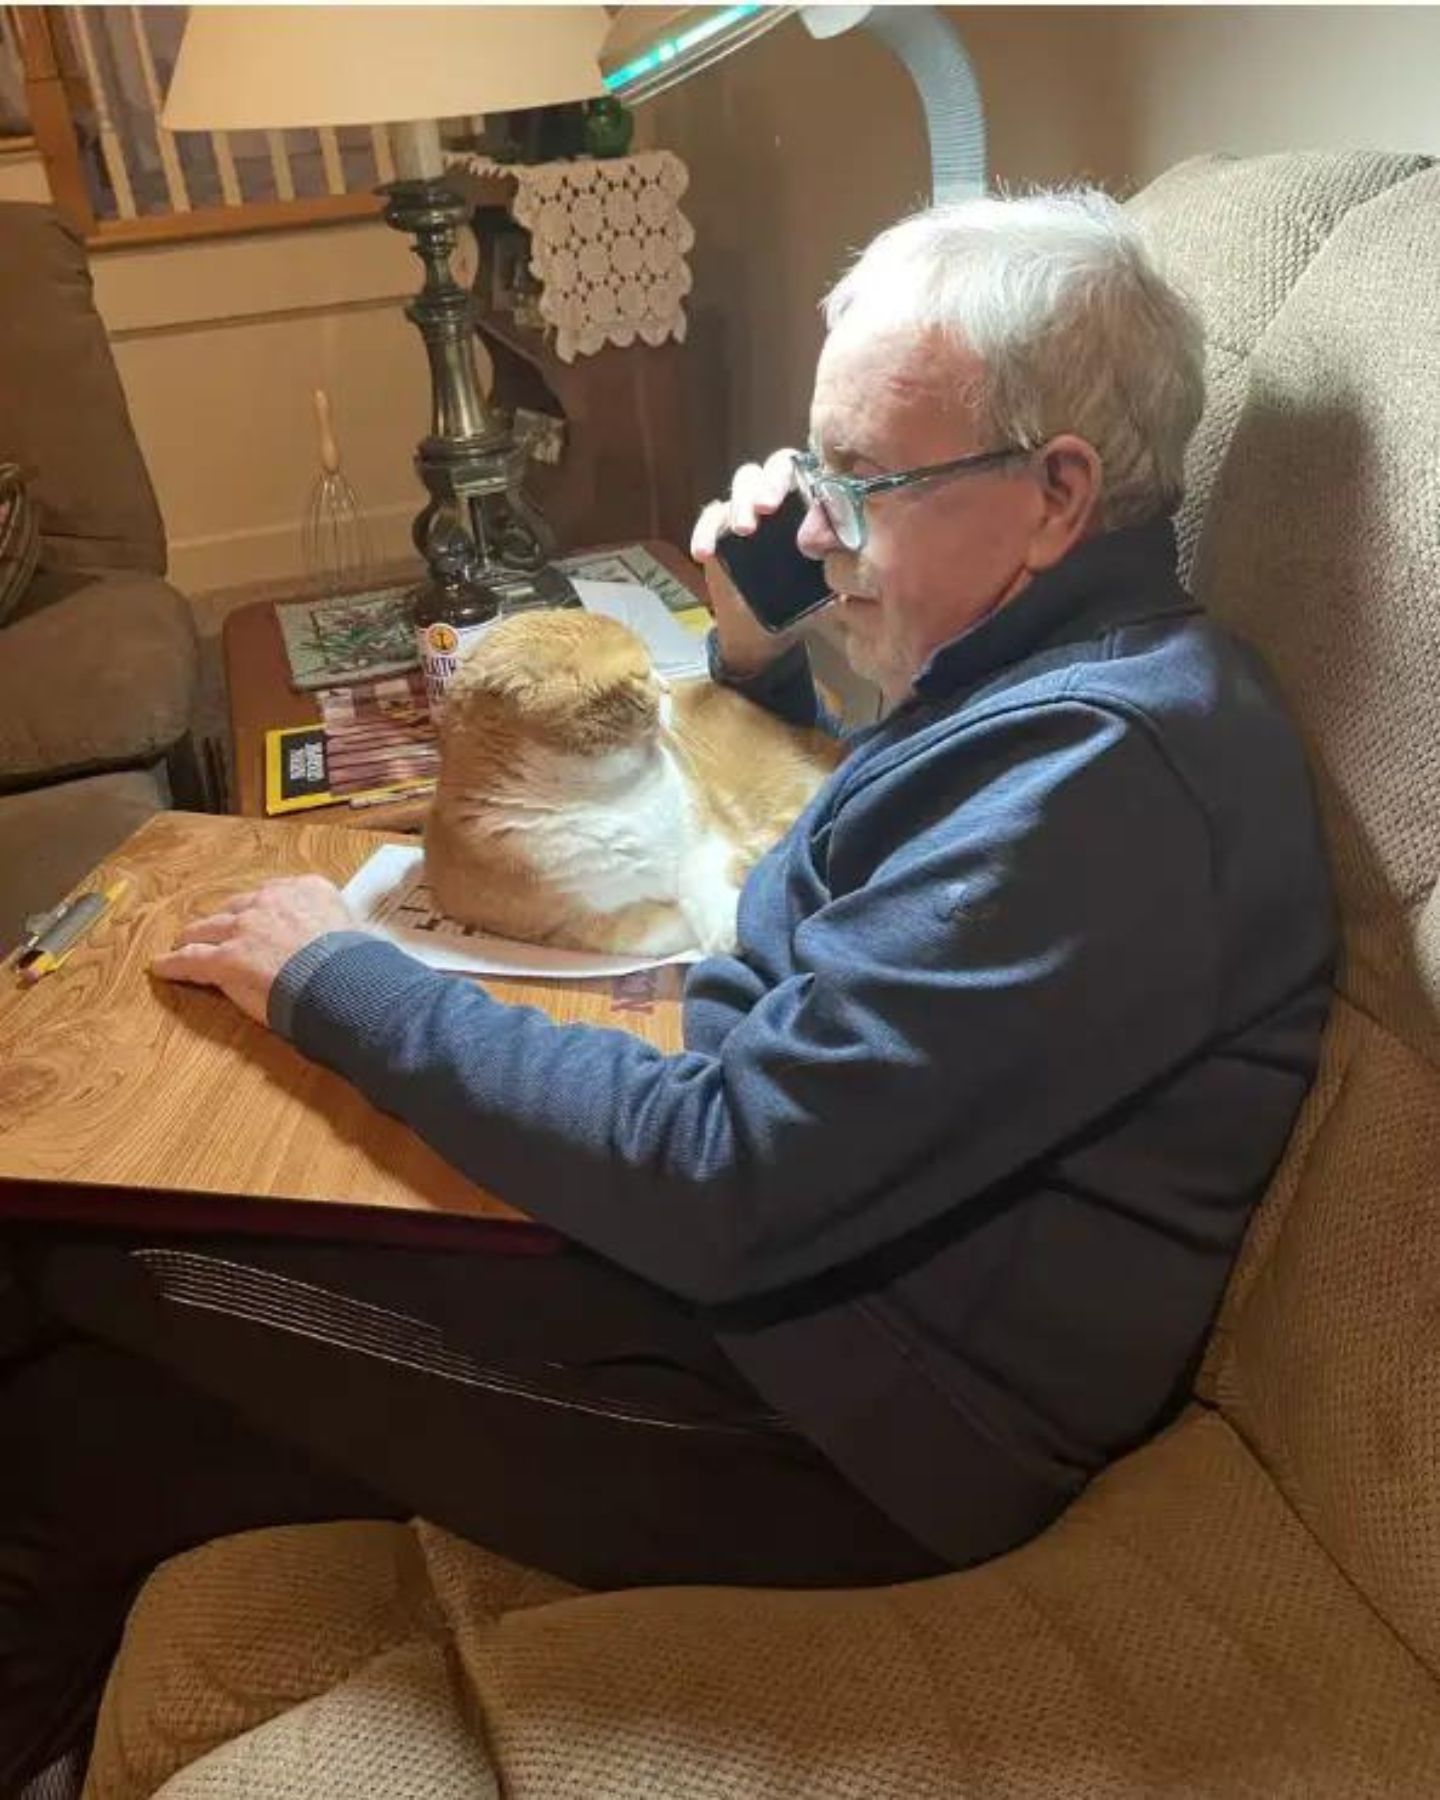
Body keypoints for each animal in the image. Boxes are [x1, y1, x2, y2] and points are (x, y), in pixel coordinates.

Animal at [421, 612, 838, 957]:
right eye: (641, 676)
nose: (668, 687)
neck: (610, 795)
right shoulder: (577, 924)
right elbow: (656, 928)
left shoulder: (707, 833)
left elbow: (702, 871)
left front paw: (727, 922)